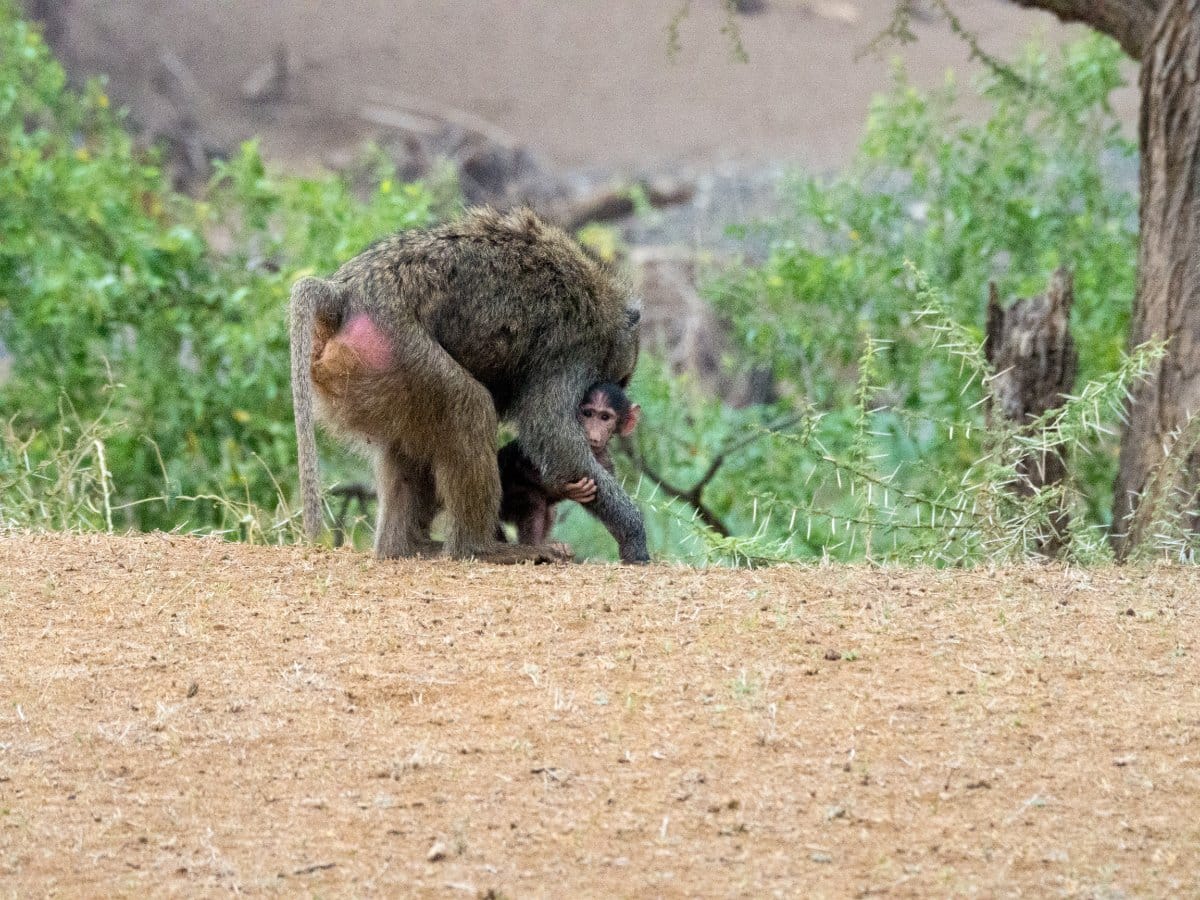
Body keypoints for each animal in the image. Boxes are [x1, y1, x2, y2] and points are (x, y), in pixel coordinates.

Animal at [497, 382, 641, 547]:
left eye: (605, 417)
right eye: (588, 414)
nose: (593, 433)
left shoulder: (605, 461)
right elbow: (522, 464)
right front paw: (564, 490)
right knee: (533, 500)